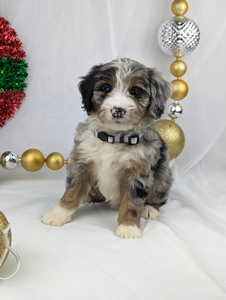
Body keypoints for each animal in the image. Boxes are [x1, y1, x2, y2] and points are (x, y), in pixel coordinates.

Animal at [42, 57, 173, 238]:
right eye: (106, 88)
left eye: (135, 91)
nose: (118, 110)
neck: (113, 138)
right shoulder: (82, 163)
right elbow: (72, 191)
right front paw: (58, 215)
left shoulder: (136, 172)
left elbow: (132, 203)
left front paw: (128, 227)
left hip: (163, 175)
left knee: (159, 197)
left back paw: (149, 209)